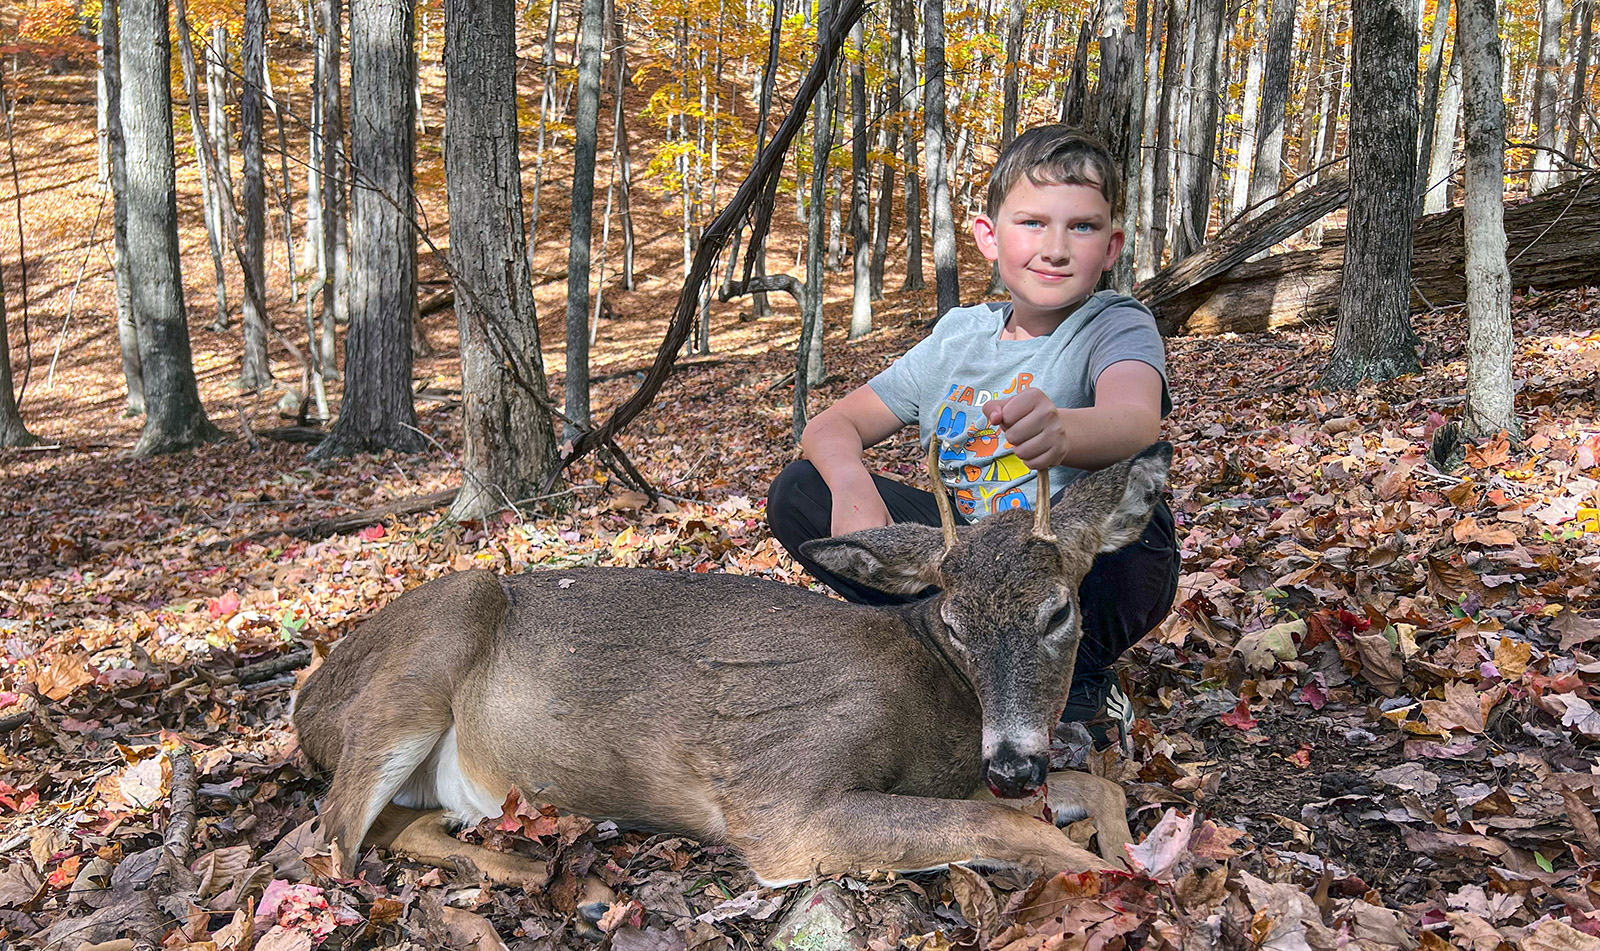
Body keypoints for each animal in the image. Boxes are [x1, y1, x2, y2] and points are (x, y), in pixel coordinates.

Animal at [291, 441, 1172, 888]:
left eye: (1058, 611)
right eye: (954, 623)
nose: (1015, 764)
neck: (944, 710)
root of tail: (304, 702)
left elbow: (1098, 786)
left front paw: (1125, 842)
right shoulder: (781, 799)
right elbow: (1003, 825)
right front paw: (1137, 883)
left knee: (379, 827)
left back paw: (506, 860)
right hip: (437, 637)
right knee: (330, 839)